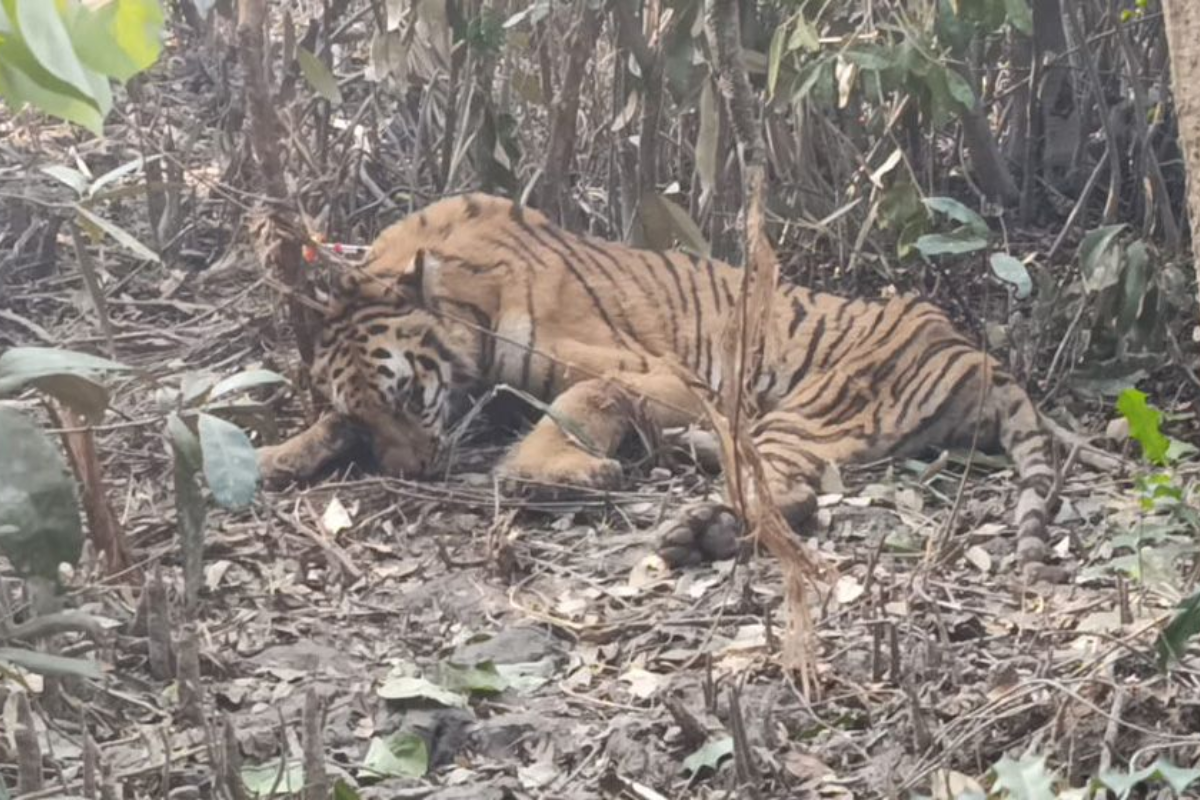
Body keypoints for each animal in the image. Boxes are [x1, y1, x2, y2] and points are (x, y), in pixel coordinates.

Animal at [258, 192, 1057, 570]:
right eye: (364, 416)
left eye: (405, 395)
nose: (409, 474)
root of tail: (976, 352)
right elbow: (320, 427)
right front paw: (271, 456)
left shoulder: (661, 373)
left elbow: (580, 403)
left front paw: (547, 473)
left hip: (812, 407)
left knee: (785, 492)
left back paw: (698, 521)